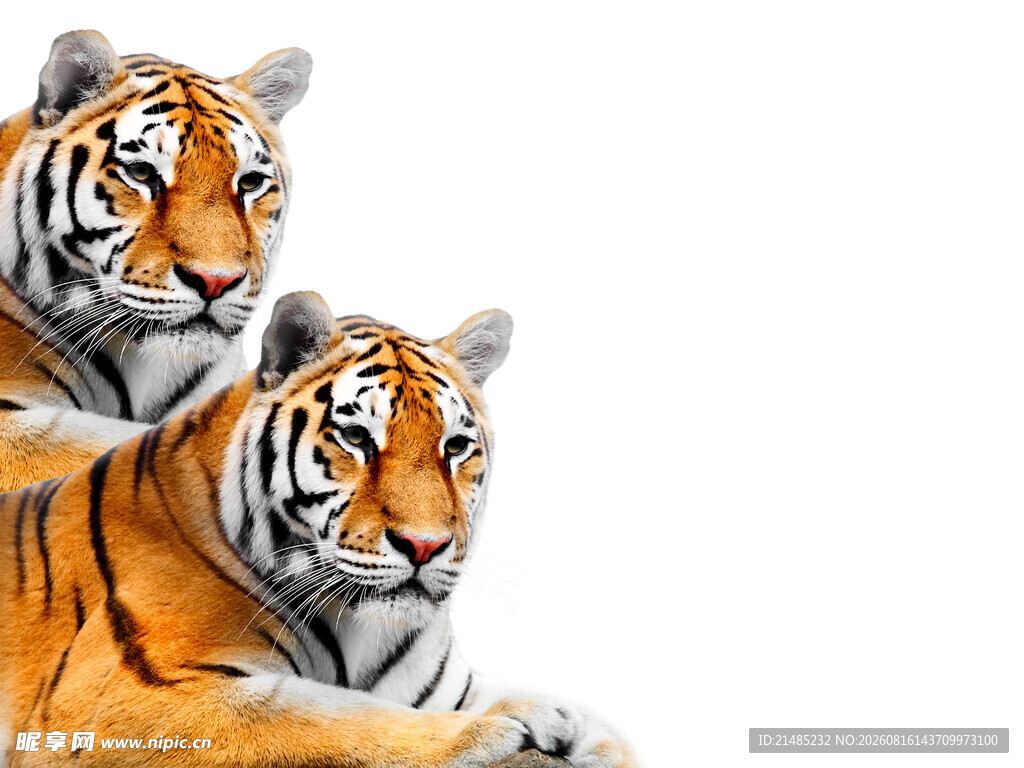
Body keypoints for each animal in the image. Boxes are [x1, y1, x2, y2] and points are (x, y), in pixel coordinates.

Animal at [0, 291, 640, 767]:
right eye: (356, 438)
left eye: (455, 447)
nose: (426, 546)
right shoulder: (128, 696)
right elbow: (335, 717)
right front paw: (504, 725)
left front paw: (573, 726)